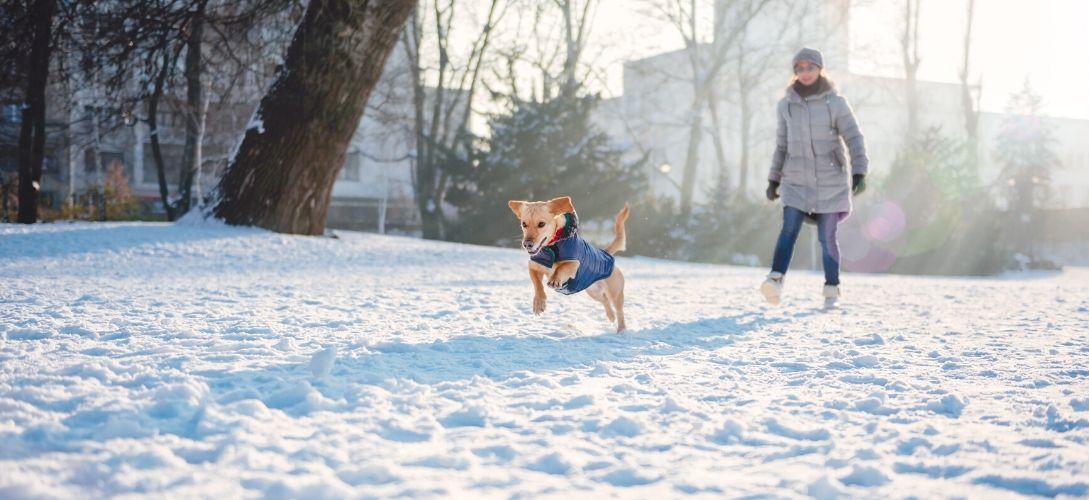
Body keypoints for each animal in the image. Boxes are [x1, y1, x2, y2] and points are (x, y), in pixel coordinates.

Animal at [507, 197, 631, 333]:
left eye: (541, 224)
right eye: (524, 224)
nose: (527, 244)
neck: (553, 246)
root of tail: (606, 252)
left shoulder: (575, 264)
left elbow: (561, 268)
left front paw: (555, 279)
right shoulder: (533, 265)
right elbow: (537, 285)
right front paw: (539, 303)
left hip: (615, 293)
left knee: (619, 311)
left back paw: (621, 329)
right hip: (593, 292)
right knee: (605, 301)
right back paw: (611, 316)